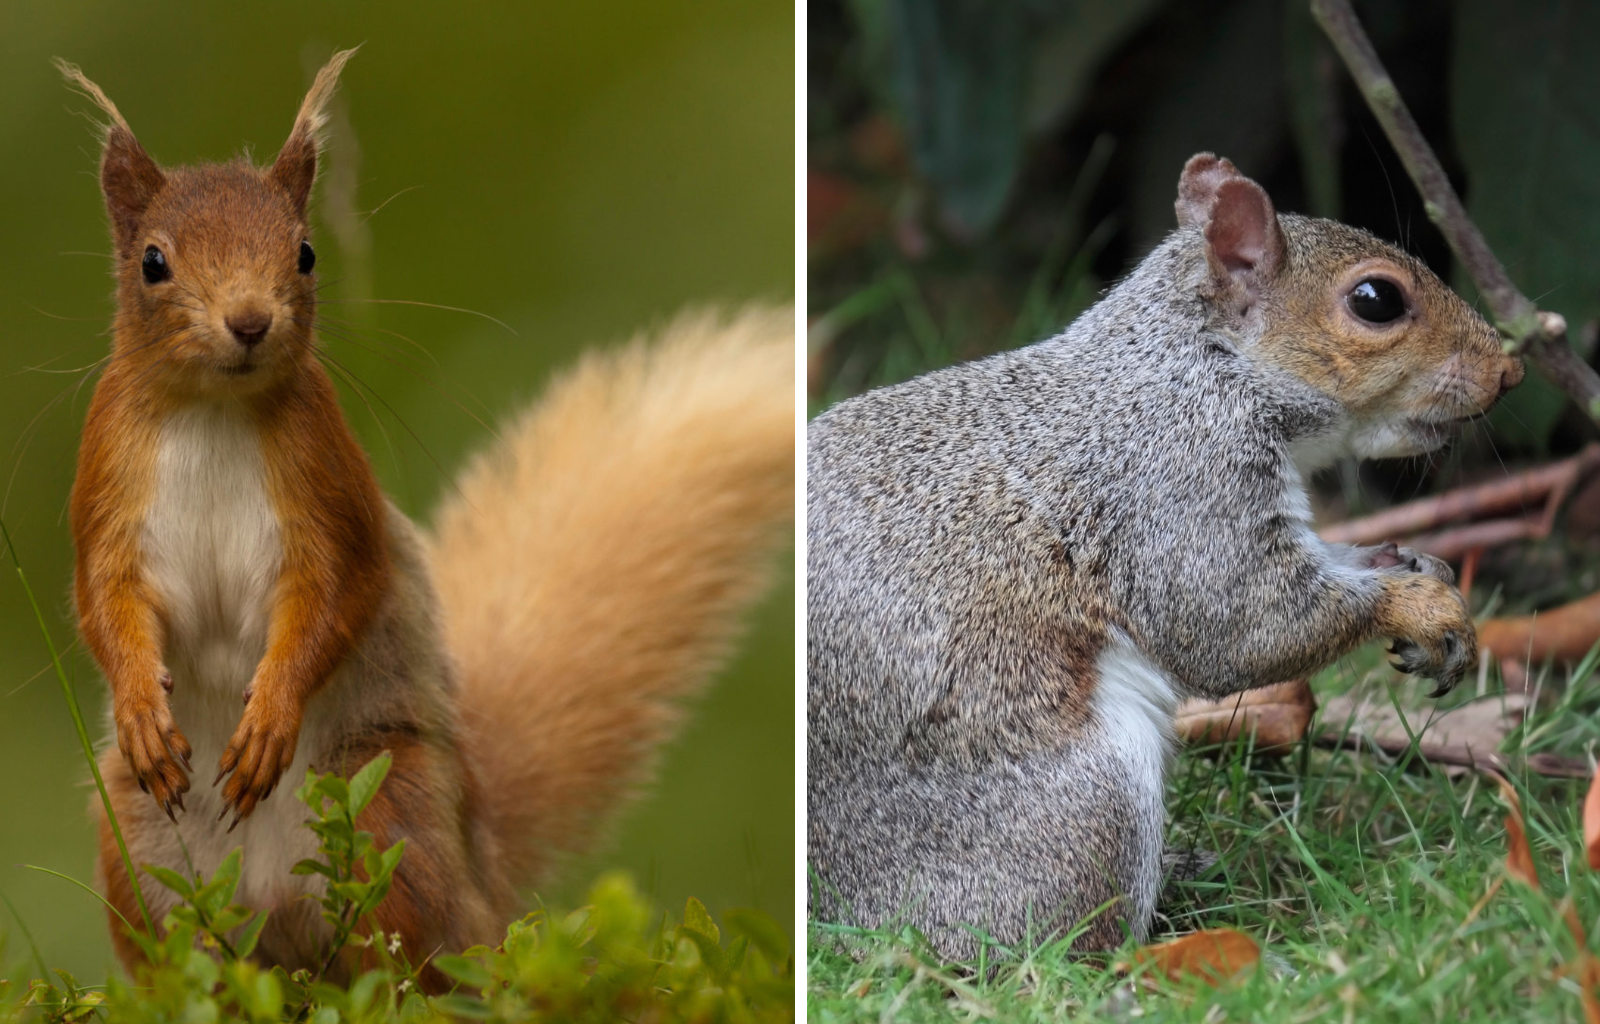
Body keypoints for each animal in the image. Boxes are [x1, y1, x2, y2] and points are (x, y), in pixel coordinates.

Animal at [57, 51, 793, 989]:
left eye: (304, 252)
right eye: (153, 262)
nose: (250, 321)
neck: (212, 411)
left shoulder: (331, 493)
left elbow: (338, 595)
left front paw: (269, 719)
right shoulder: (107, 489)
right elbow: (104, 604)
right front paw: (143, 713)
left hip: (387, 819)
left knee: (424, 959)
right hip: (146, 857)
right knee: (193, 957)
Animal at [806, 153, 1522, 960]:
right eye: (1377, 301)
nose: (1509, 370)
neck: (1196, 367)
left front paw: (1422, 574)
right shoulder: (1179, 481)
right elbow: (1239, 626)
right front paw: (1416, 606)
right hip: (1079, 808)